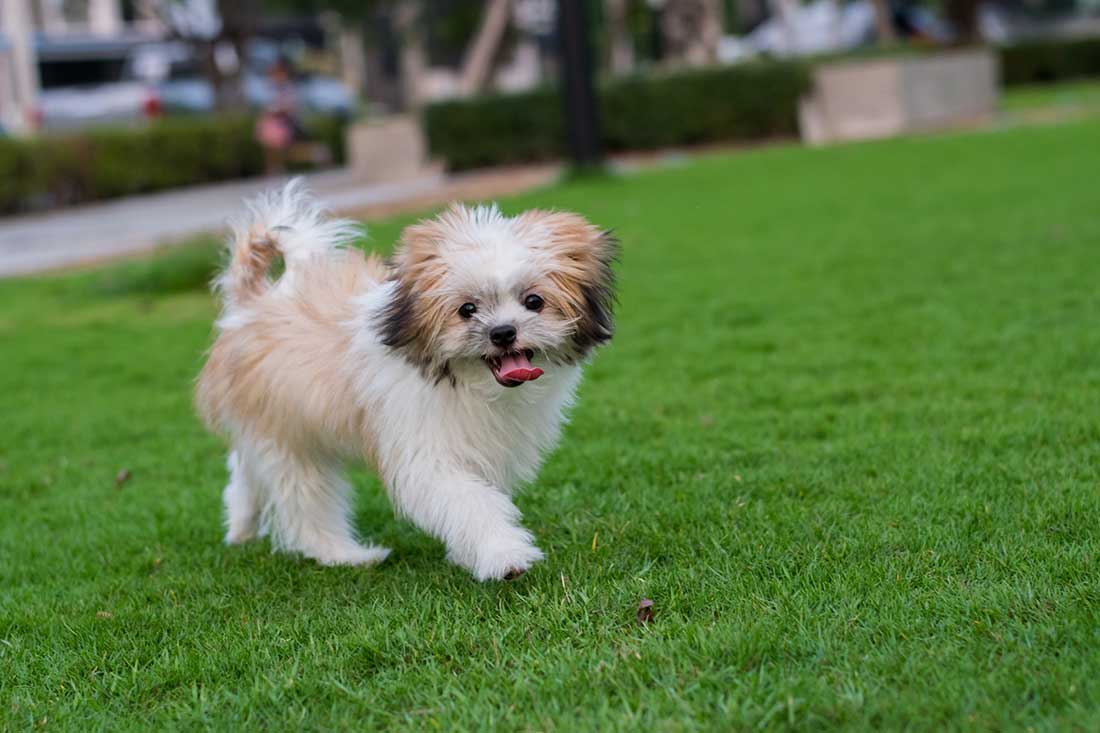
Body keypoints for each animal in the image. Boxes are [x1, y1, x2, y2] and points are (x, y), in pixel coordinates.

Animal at [192, 181, 616, 576]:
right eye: (467, 309)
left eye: (534, 301)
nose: (503, 332)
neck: (469, 383)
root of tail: (249, 304)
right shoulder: (425, 450)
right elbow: (469, 502)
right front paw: (503, 554)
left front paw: (470, 552)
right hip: (288, 436)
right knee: (305, 507)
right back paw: (346, 555)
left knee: (246, 466)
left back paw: (241, 525)